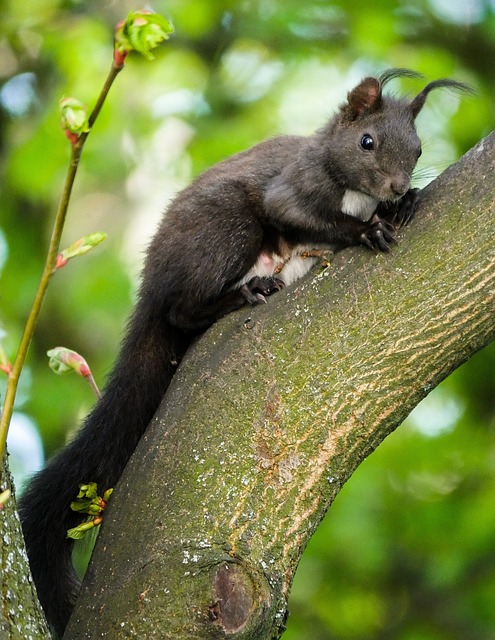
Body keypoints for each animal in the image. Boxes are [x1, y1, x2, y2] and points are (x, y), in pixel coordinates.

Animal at [17, 67, 470, 632]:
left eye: (418, 148)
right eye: (367, 141)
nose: (396, 186)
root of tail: (151, 284)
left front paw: (405, 204)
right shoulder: (293, 186)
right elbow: (299, 212)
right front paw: (367, 229)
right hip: (228, 226)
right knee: (179, 311)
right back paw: (240, 295)